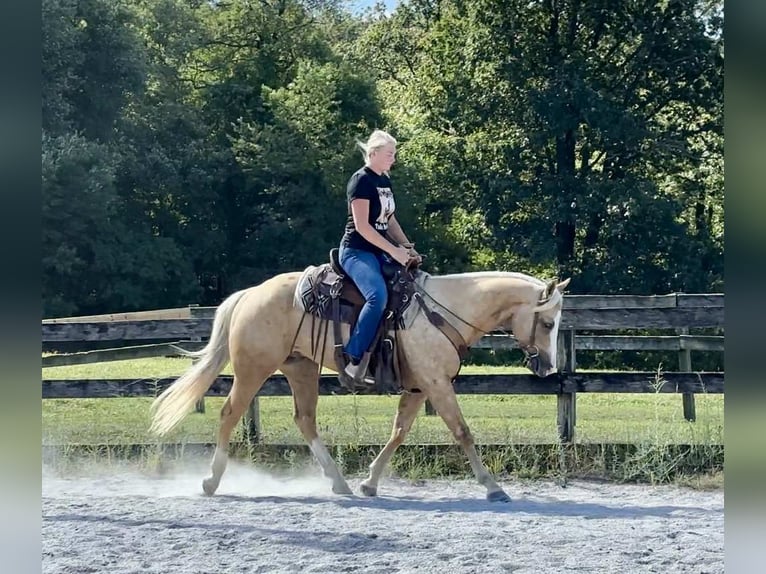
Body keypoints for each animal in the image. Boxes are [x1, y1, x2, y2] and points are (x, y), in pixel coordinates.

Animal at [150, 268, 570, 502]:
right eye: (548, 323)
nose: (549, 367)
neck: (443, 311)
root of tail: (250, 294)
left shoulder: (419, 388)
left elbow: (399, 432)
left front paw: (369, 482)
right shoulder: (436, 384)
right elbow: (462, 432)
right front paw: (492, 487)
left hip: (301, 370)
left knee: (305, 420)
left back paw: (340, 483)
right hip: (254, 370)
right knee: (229, 413)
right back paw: (211, 481)